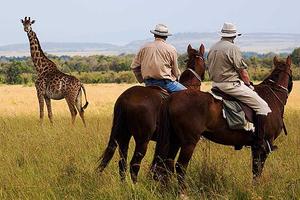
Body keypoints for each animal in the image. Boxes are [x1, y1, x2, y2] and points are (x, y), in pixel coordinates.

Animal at [98, 43, 206, 183]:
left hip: (123, 135)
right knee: (134, 164)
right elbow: (168, 163)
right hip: (142, 139)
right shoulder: (177, 141)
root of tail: (125, 99)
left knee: (122, 162)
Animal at [155, 55, 292, 194]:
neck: (272, 96)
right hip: (189, 142)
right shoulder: (264, 145)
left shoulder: (256, 147)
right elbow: (258, 170)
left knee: (166, 164)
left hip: (174, 139)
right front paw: (256, 190)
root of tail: (171, 98)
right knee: (180, 167)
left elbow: (255, 169)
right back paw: (182, 193)